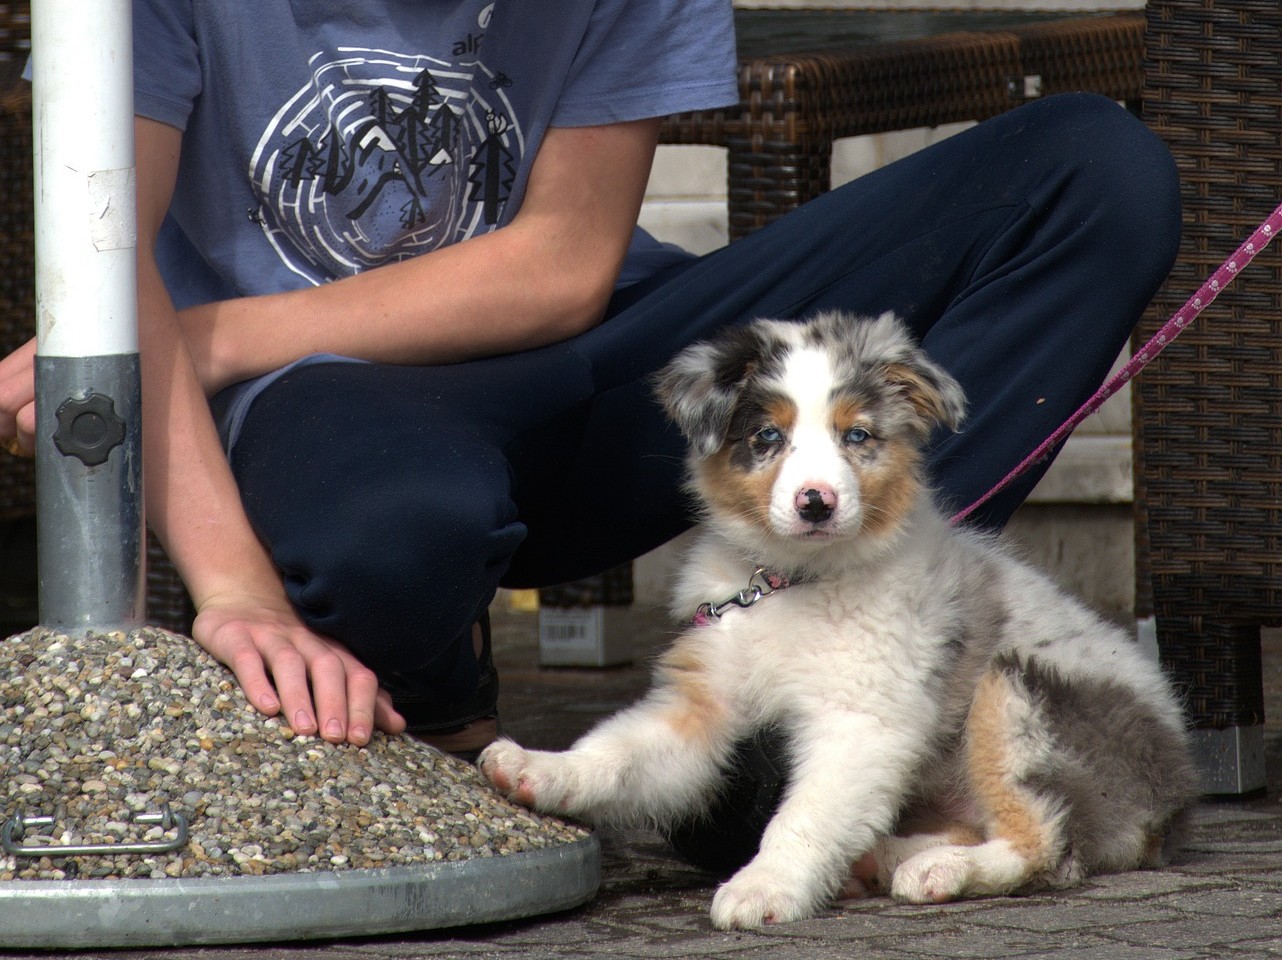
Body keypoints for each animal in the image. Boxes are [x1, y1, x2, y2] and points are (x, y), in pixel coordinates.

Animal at [476, 311, 1194, 922]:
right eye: (768, 437)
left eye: (858, 436)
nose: (816, 502)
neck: (790, 581)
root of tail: (1170, 809)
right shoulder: (703, 702)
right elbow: (621, 752)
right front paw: (539, 769)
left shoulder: (860, 721)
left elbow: (804, 816)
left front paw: (764, 887)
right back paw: (885, 858)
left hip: (1023, 694)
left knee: (1044, 840)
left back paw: (941, 871)